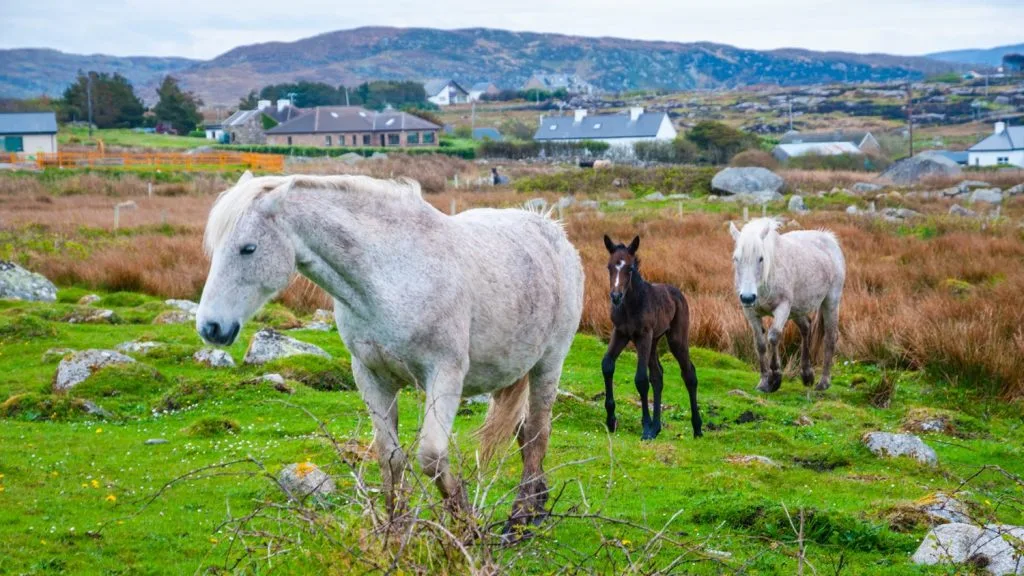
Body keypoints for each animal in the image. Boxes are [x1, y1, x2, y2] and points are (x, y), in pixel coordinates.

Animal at [196, 172, 584, 531]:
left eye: (248, 248)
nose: (210, 327)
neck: (392, 274)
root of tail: (552, 229)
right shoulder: (372, 377)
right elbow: (390, 457)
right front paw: (395, 530)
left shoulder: (445, 374)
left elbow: (431, 457)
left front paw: (465, 526)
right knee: (523, 432)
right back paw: (538, 505)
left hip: (548, 364)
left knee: (537, 434)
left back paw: (522, 520)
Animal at [600, 235, 702, 441]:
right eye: (609, 266)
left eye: (630, 268)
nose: (615, 296)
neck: (631, 304)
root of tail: (677, 293)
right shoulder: (620, 333)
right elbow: (607, 365)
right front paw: (611, 420)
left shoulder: (643, 336)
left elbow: (641, 379)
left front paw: (646, 427)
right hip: (654, 342)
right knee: (658, 375)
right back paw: (657, 427)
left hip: (675, 339)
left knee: (689, 373)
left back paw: (697, 428)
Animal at [728, 218, 846, 393]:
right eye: (736, 258)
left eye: (761, 258)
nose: (748, 297)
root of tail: (829, 238)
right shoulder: (751, 312)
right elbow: (760, 344)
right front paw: (764, 381)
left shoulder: (782, 308)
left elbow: (773, 337)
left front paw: (775, 378)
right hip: (796, 310)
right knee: (806, 328)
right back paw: (807, 374)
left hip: (830, 302)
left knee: (830, 338)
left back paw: (824, 382)